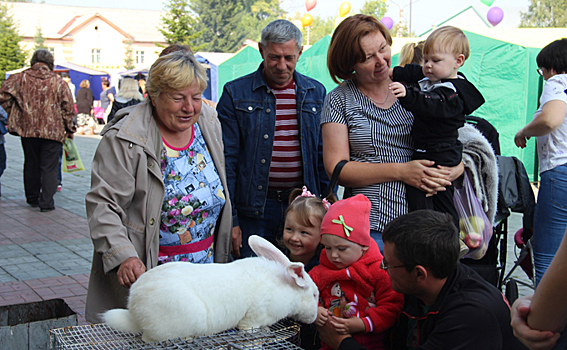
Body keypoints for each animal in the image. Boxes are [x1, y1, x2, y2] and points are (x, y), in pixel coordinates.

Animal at [102, 235, 320, 342]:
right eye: (315, 294)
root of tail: (133, 309)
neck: (285, 285)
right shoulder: (255, 316)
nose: (314, 319)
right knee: (148, 339)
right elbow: (249, 328)